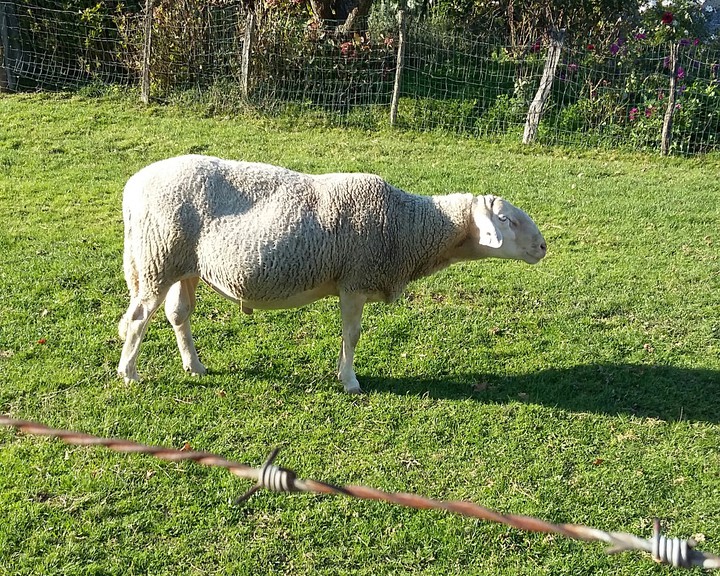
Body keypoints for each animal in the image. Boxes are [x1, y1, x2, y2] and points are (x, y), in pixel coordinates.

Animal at [117, 155, 546, 393]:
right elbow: (352, 335)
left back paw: (194, 366)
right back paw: (129, 373)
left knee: (178, 314)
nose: (543, 247)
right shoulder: (355, 279)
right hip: (156, 258)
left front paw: (344, 374)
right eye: (506, 220)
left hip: (183, 265)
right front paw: (351, 381)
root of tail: (133, 186)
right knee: (138, 319)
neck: (409, 226)